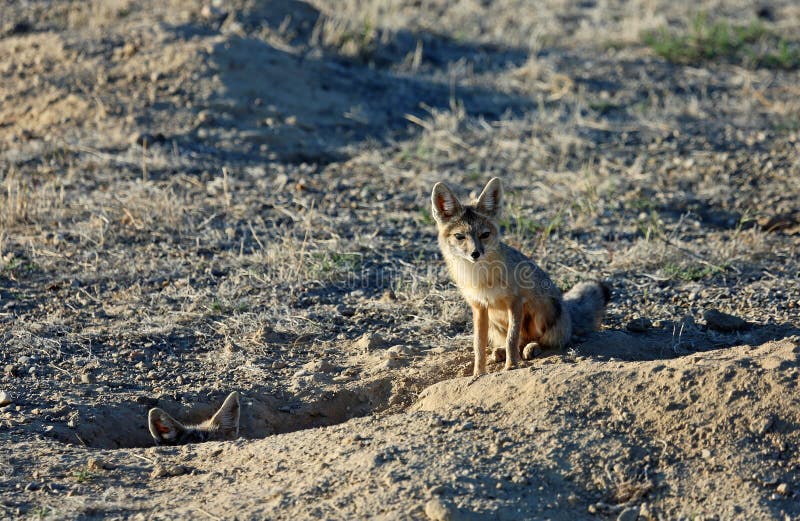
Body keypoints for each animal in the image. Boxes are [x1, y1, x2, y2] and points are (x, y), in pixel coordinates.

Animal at [431, 177, 610, 376]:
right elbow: (479, 345)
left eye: (484, 235)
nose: (475, 254)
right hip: (494, 322)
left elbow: (512, 339)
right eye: (460, 236)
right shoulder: (479, 307)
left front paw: (511, 366)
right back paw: (501, 352)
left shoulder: (515, 301)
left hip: (539, 309)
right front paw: (478, 373)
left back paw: (532, 347)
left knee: (541, 340)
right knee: (519, 340)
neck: (480, 277)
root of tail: (567, 311)